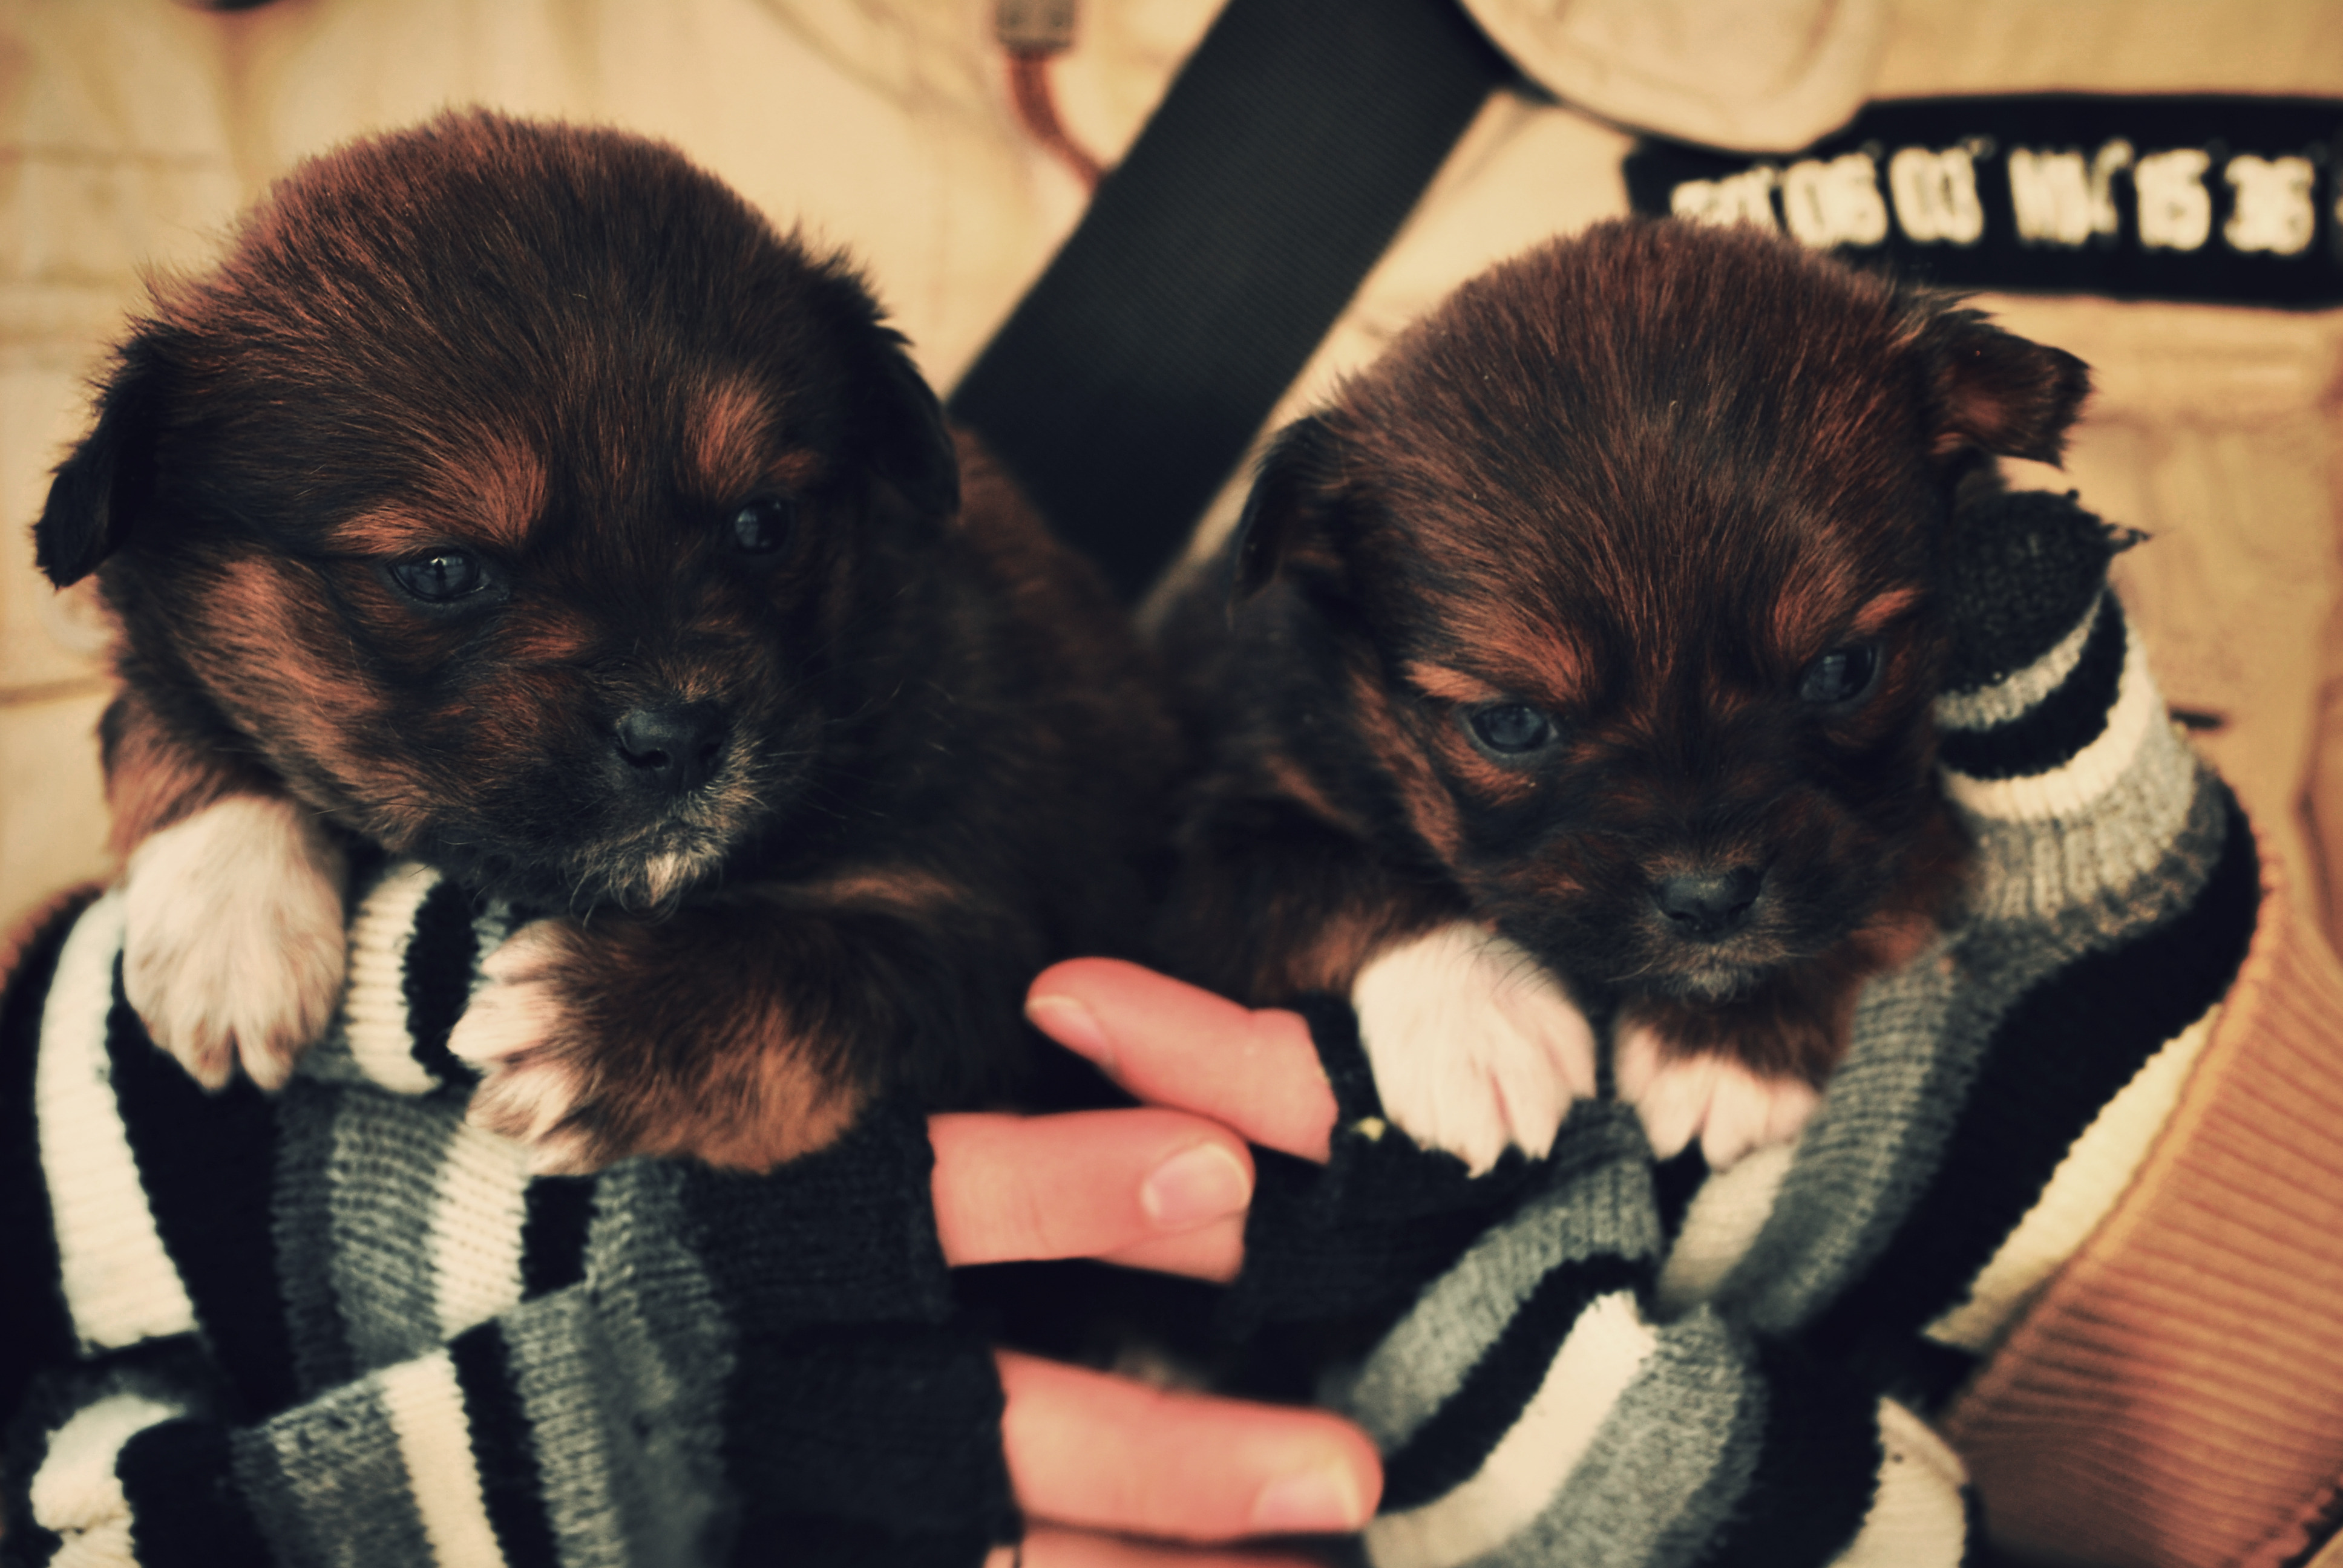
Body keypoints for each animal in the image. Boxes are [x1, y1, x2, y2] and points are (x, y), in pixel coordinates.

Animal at [36, 110, 1172, 1167]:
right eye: (441, 570)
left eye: (764, 521)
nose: (682, 737)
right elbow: (159, 691)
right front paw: (228, 925)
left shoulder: (1001, 934)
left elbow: (846, 964)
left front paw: (602, 1030)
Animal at [1157, 217, 2089, 1172]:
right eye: (1510, 723)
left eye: (1843, 669)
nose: (1710, 901)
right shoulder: (1213, 845)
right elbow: (1340, 881)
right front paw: (1481, 1029)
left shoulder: (1906, 810)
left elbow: (1875, 878)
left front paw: (1727, 1044)